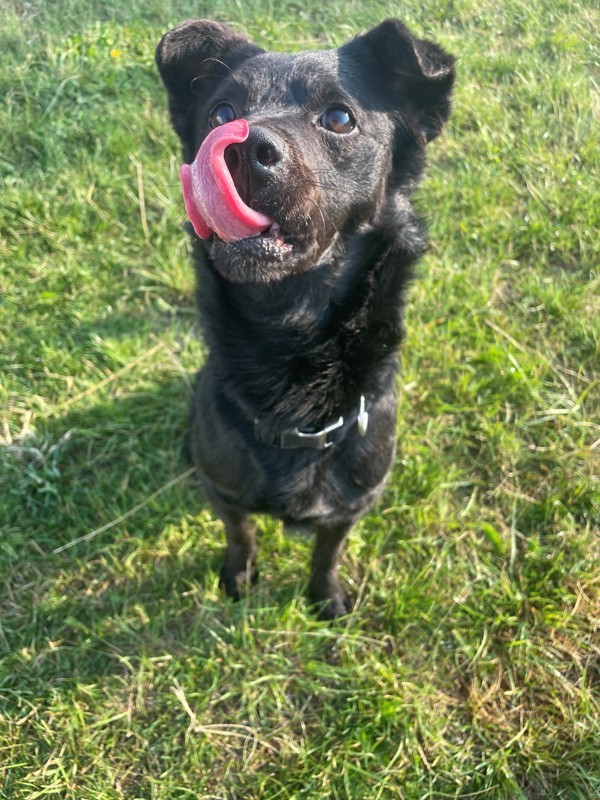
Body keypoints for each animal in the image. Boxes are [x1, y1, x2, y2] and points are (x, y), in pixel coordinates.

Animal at [156, 17, 454, 620]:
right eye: (221, 112)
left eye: (339, 118)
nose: (242, 145)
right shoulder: (224, 493)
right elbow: (241, 535)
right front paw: (239, 577)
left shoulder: (351, 505)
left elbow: (327, 552)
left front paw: (325, 597)